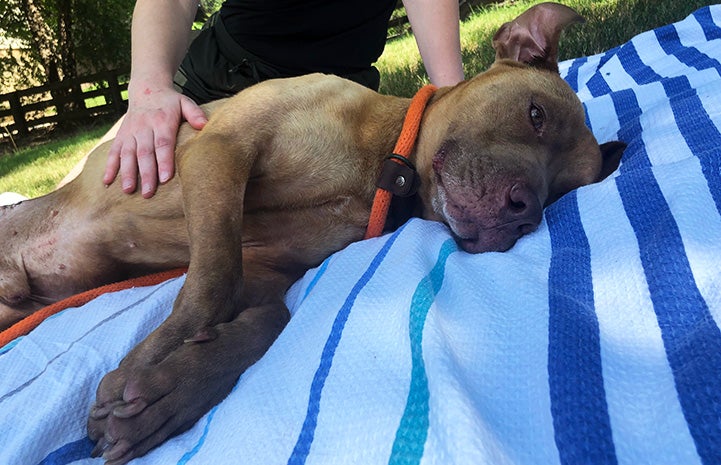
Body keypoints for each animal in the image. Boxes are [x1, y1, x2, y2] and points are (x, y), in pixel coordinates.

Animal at [0, 2, 620, 460]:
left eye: (563, 191)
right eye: (535, 114)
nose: (524, 211)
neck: (382, 169)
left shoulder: (268, 269)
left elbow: (268, 321)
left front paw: (171, 391)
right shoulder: (222, 150)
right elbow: (212, 281)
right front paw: (145, 365)